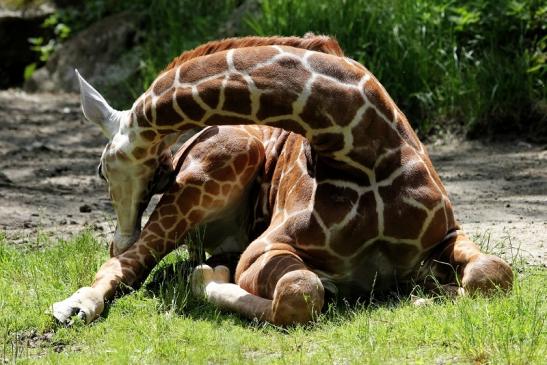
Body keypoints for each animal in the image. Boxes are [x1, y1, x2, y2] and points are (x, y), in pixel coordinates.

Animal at [52, 34, 512, 324]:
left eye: (99, 170)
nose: (118, 238)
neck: (363, 146)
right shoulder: (264, 249)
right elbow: (300, 294)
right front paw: (207, 278)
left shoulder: (446, 234)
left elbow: (492, 274)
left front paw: (432, 292)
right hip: (219, 165)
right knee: (132, 266)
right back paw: (75, 306)